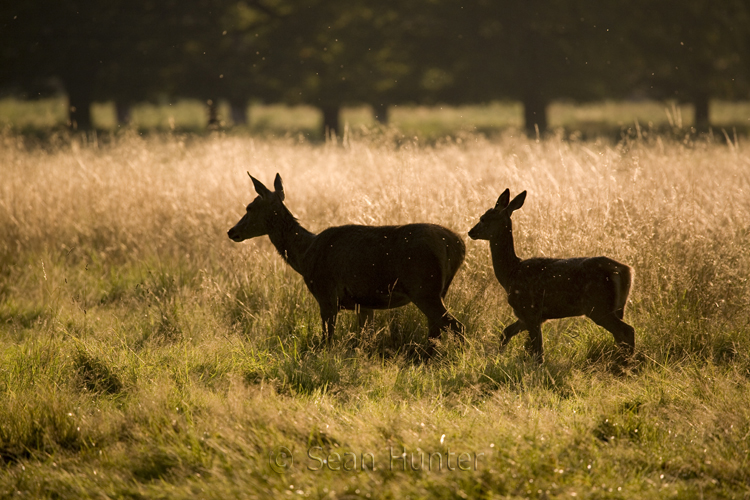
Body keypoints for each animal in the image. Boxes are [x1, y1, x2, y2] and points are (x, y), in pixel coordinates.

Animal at [226, 174, 468, 350]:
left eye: (249, 207)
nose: (232, 231)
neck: (305, 255)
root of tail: (457, 246)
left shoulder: (326, 293)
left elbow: (327, 339)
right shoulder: (365, 302)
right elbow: (364, 339)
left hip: (424, 288)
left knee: (456, 326)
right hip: (437, 290)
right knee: (437, 330)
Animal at [470, 189, 636, 362]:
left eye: (483, 218)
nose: (471, 232)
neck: (511, 273)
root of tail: (627, 270)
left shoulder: (530, 310)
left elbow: (538, 351)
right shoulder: (530, 316)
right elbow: (506, 333)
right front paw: (497, 357)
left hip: (598, 306)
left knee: (627, 331)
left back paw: (626, 363)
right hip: (615, 308)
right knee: (621, 335)